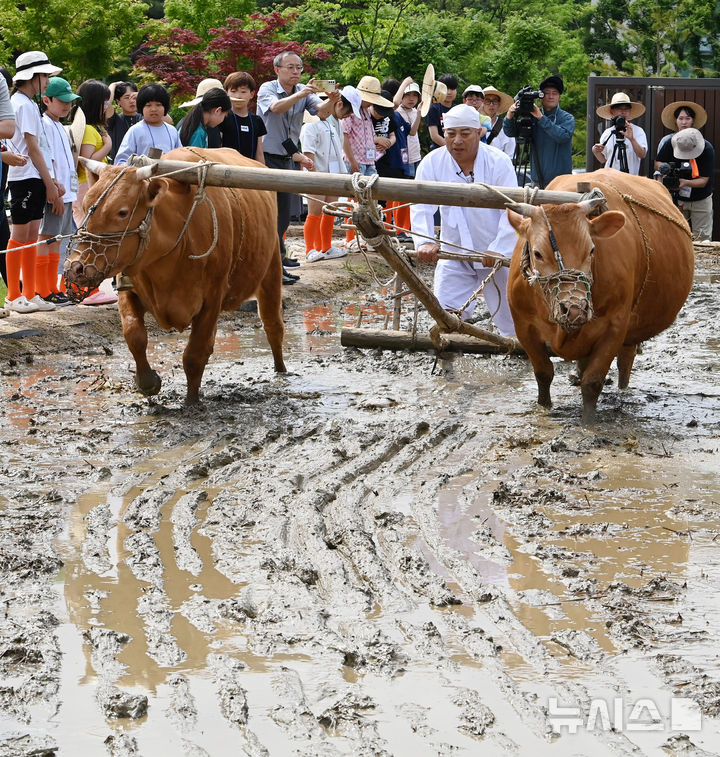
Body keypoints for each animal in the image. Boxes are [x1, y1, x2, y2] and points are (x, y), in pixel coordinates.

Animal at [64, 147, 286, 404]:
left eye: (122, 212)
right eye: (86, 204)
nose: (76, 267)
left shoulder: (212, 299)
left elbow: (194, 355)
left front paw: (191, 401)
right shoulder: (127, 287)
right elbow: (134, 335)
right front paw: (148, 382)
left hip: (271, 269)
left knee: (272, 325)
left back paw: (281, 371)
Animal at [506, 168, 694, 424]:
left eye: (592, 250)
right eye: (537, 253)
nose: (575, 309)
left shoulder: (615, 325)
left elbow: (593, 381)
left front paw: (588, 421)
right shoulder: (523, 326)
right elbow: (543, 372)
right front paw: (544, 406)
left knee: (625, 360)